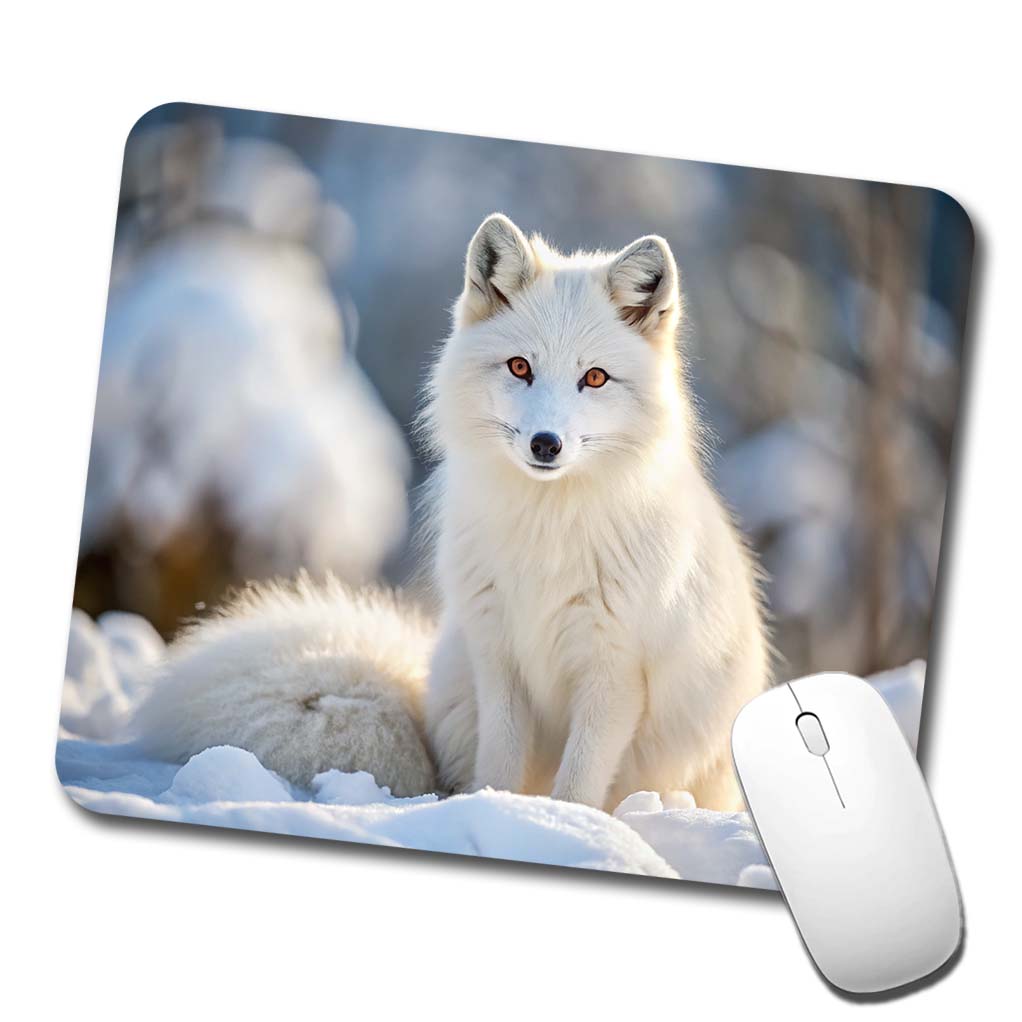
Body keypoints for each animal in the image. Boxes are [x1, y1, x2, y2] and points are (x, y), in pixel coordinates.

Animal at [131, 213, 770, 812]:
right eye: (519, 367)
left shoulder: (612, 673)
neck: (544, 533)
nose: (545, 444)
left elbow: (578, 783)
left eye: (594, 378)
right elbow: (501, 764)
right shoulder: (498, 655)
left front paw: (562, 824)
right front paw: (501, 810)